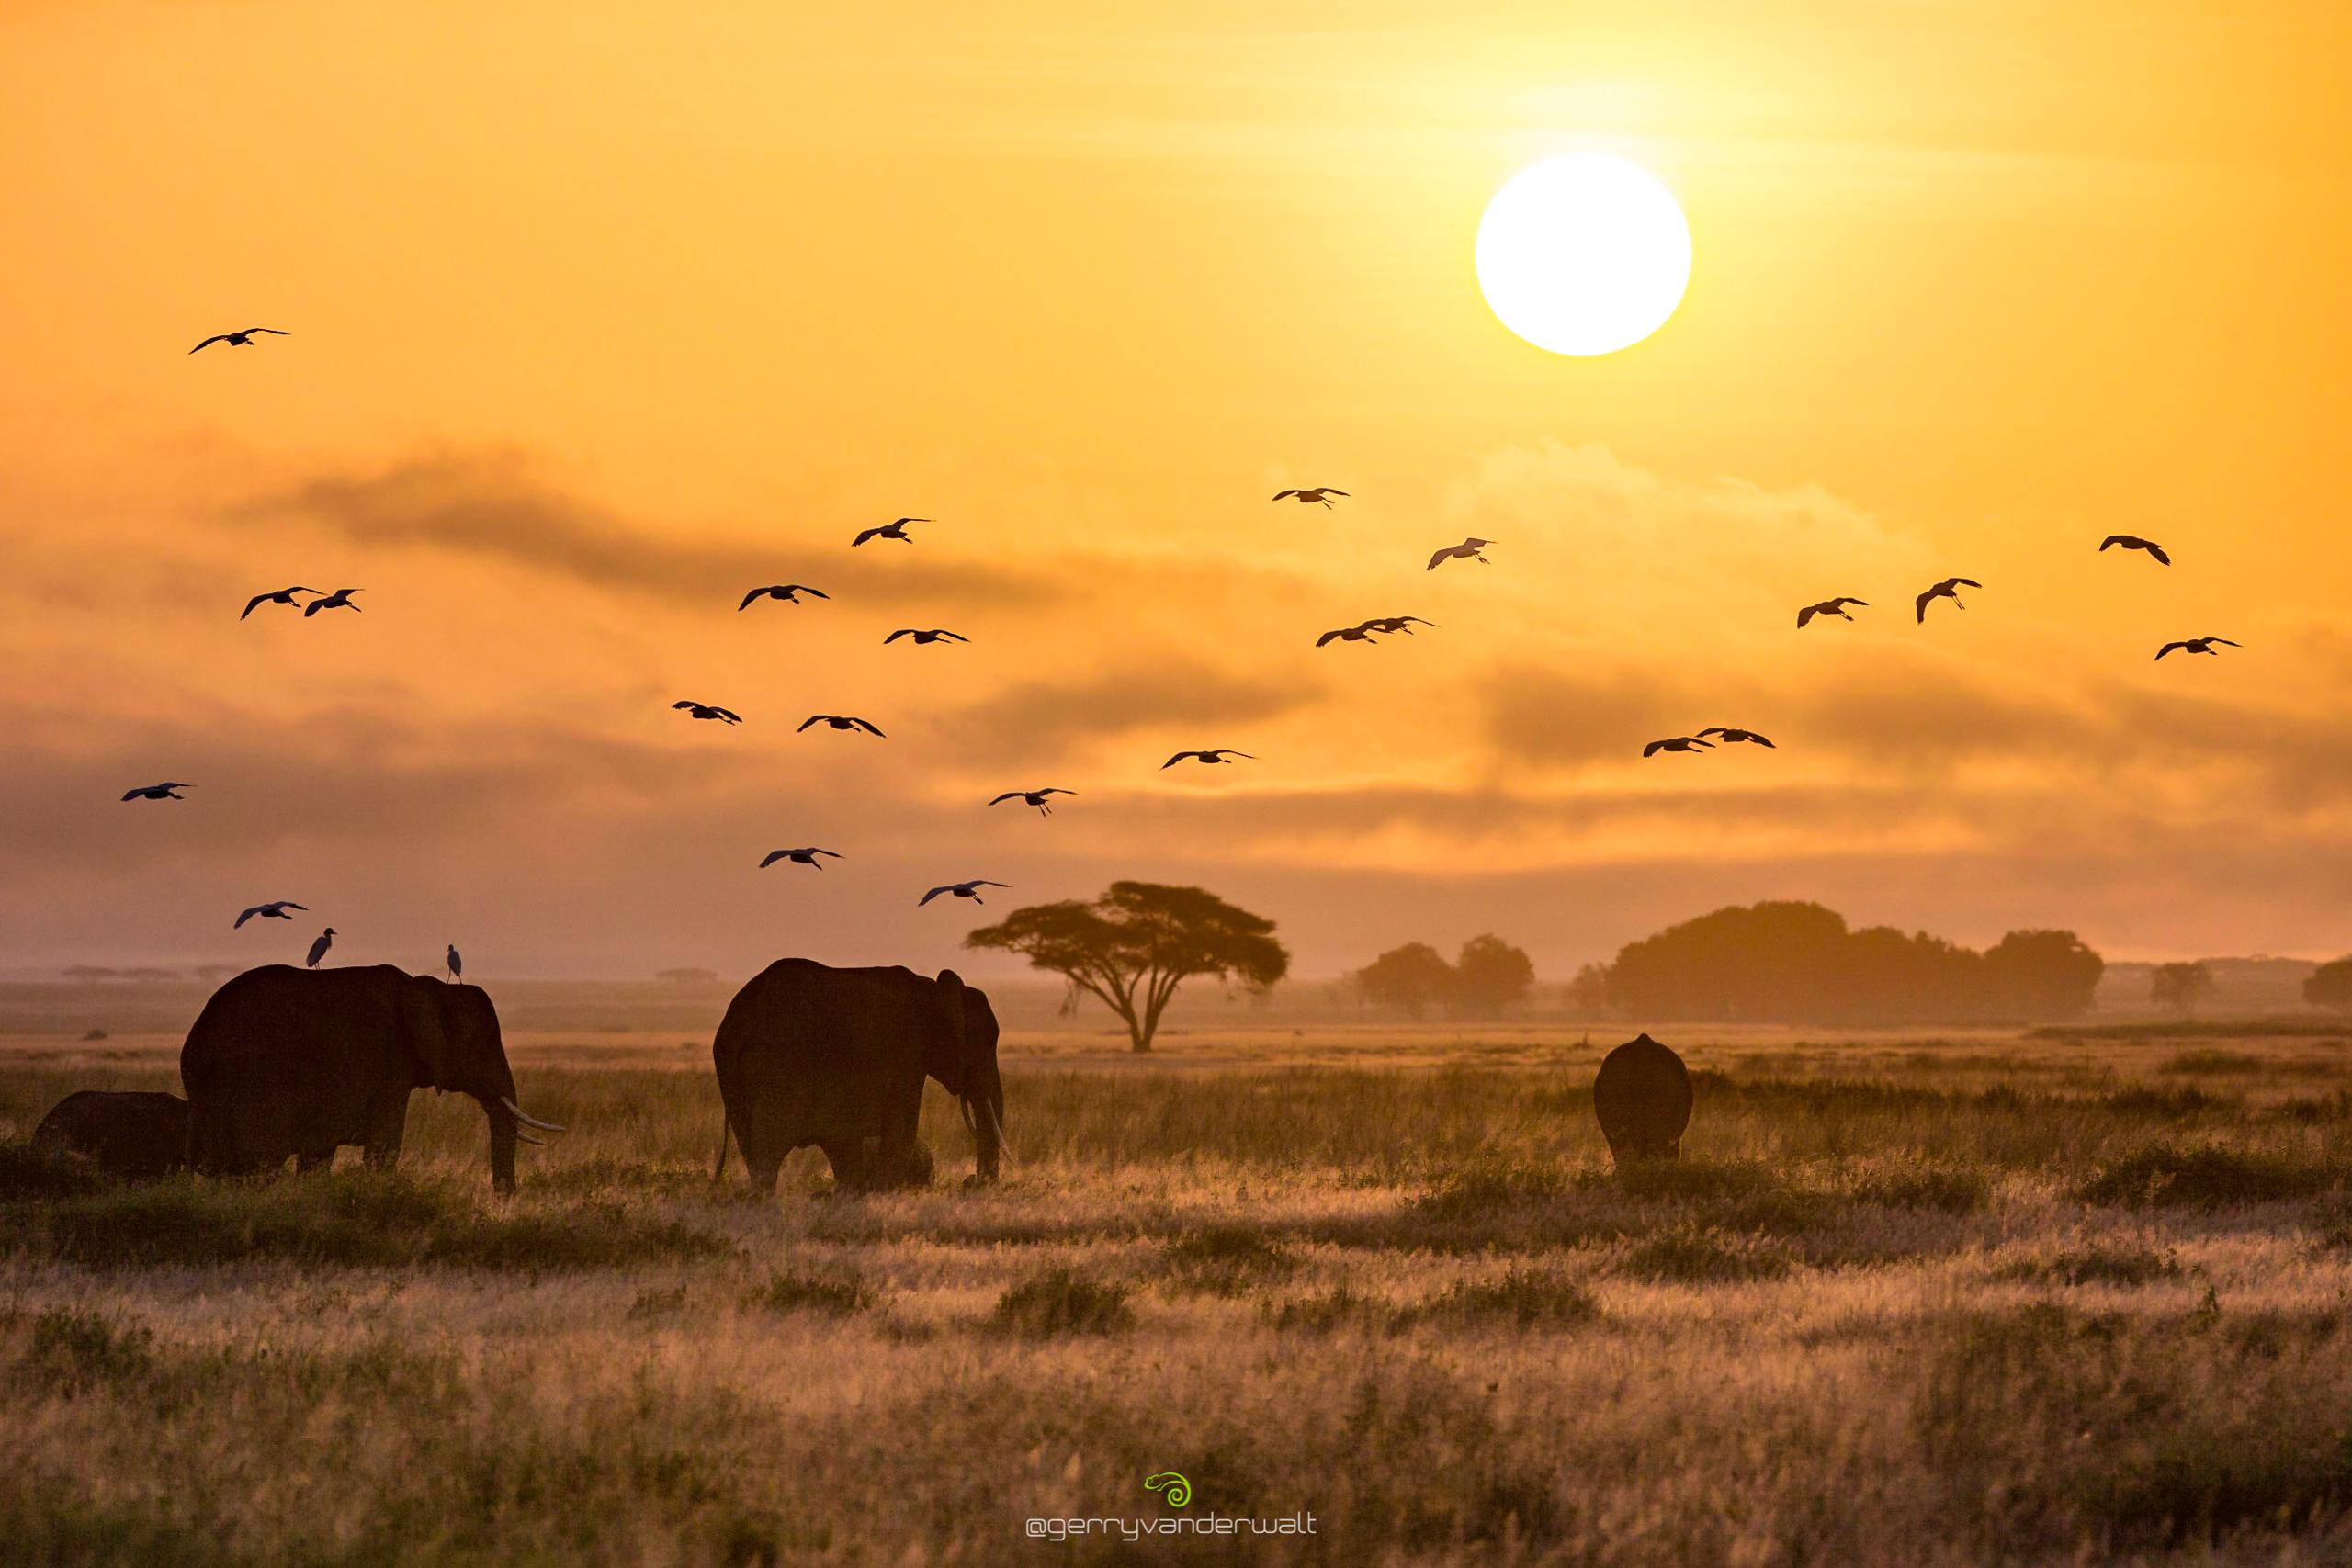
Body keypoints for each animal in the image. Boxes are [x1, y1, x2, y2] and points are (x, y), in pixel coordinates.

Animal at [181, 964, 557, 1194]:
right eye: (480, 1045)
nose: (505, 1198)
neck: (428, 988)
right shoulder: (389, 1065)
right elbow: (385, 1146)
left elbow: (318, 1156)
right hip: (255, 1088)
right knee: (259, 1165)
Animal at [715, 959, 1011, 1203]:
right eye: (985, 1043)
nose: (972, 1182)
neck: (934, 989)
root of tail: (737, 1024)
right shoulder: (906, 1057)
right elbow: (902, 1129)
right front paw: (883, 1194)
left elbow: (843, 1141)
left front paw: (853, 1195)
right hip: (782, 1066)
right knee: (770, 1143)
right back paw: (762, 1201)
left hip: (732, 1077)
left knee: (749, 1142)